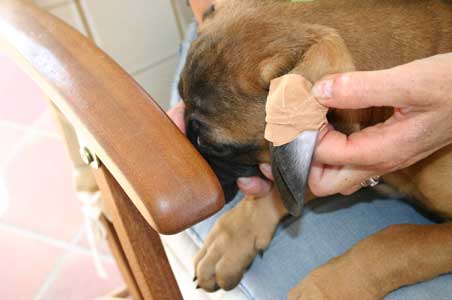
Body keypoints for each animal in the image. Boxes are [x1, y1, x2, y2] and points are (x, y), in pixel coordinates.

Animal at [178, 1, 452, 298]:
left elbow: (402, 239)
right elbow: (287, 184)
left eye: (210, 144)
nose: (197, 194)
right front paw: (233, 236)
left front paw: (326, 286)